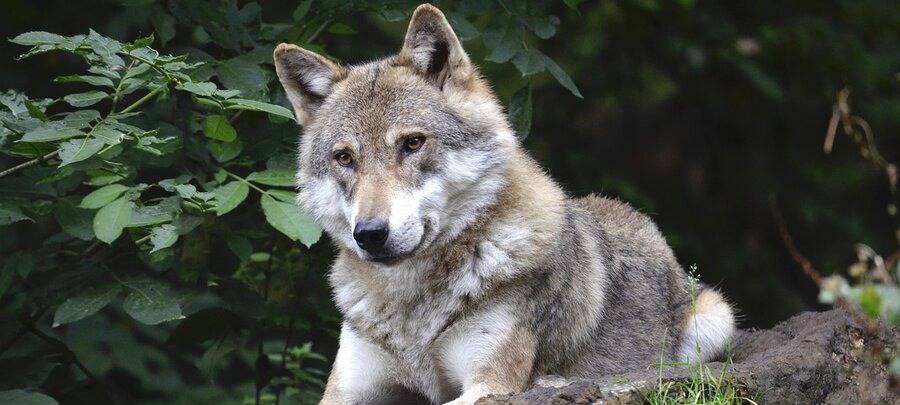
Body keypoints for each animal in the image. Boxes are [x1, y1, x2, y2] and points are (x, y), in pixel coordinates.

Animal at [273, 4, 736, 404]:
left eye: (413, 143)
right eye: (344, 158)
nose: (369, 234)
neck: (412, 309)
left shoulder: (490, 383)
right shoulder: (344, 391)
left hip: (716, 322)